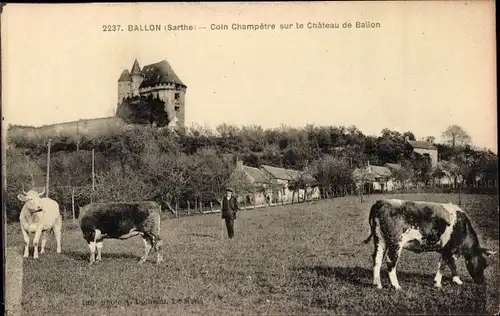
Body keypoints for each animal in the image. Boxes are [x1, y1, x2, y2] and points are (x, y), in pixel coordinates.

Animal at [364, 199, 496, 290]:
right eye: (484, 264)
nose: (482, 282)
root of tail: (382, 202)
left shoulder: (446, 250)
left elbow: (445, 264)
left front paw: (446, 281)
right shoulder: (450, 249)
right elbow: (448, 265)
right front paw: (448, 281)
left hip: (380, 239)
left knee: (377, 259)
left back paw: (377, 284)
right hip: (396, 242)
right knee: (390, 262)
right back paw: (396, 285)